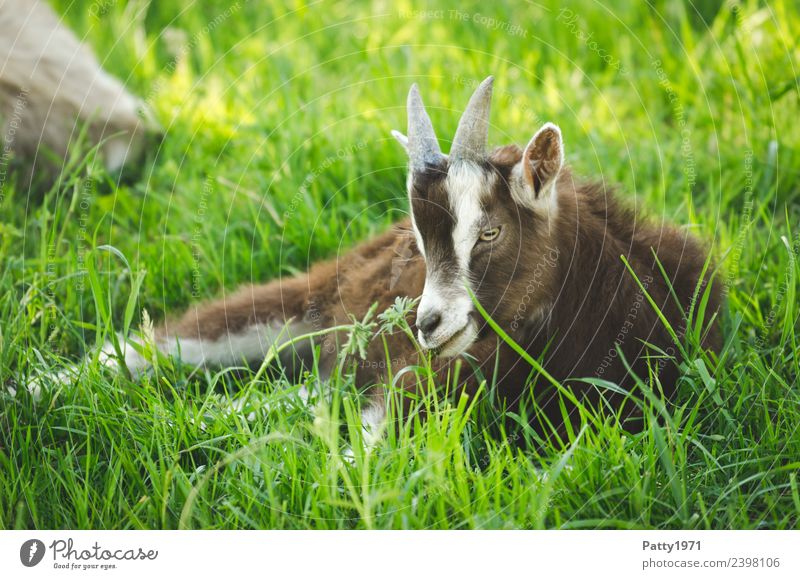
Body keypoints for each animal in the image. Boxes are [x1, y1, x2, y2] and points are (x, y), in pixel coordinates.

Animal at [31, 78, 720, 440]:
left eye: (490, 232)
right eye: (420, 240)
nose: (428, 324)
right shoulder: (419, 380)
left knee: (290, 393)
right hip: (312, 302)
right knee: (143, 348)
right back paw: (32, 396)